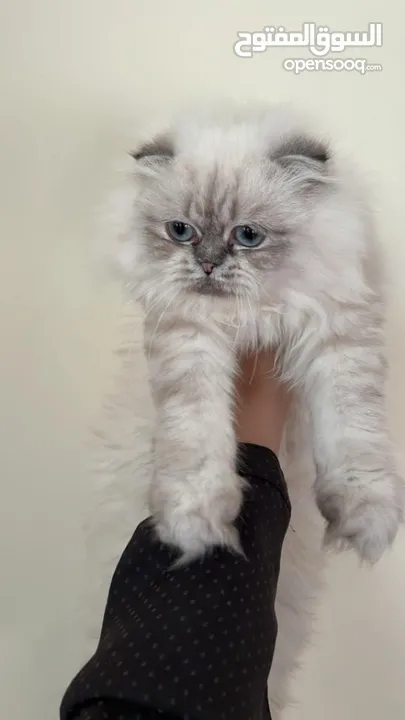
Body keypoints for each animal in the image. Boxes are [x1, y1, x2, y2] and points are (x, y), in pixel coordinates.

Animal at [110, 104, 400, 564]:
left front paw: (366, 524)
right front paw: (195, 525)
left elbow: (355, 433)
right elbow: (195, 436)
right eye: (180, 231)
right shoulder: (188, 336)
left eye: (248, 236)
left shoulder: (337, 337)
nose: (208, 264)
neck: (252, 314)